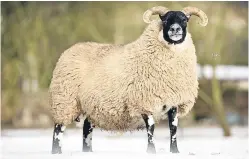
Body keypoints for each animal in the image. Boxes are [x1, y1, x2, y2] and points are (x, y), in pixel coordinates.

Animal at [49, 5, 208, 154]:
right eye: (164, 20)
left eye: (185, 20)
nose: (175, 29)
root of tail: (69, 50)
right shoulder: (144, 102)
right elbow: (151, 130)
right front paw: (151, 152)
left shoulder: (174, 102)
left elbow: (173, 130)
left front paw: (175, 151)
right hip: (64, 101)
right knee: (58, 131)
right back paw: (57, 151)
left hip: (91, 107)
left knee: (86, 130)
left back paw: (87, 152)